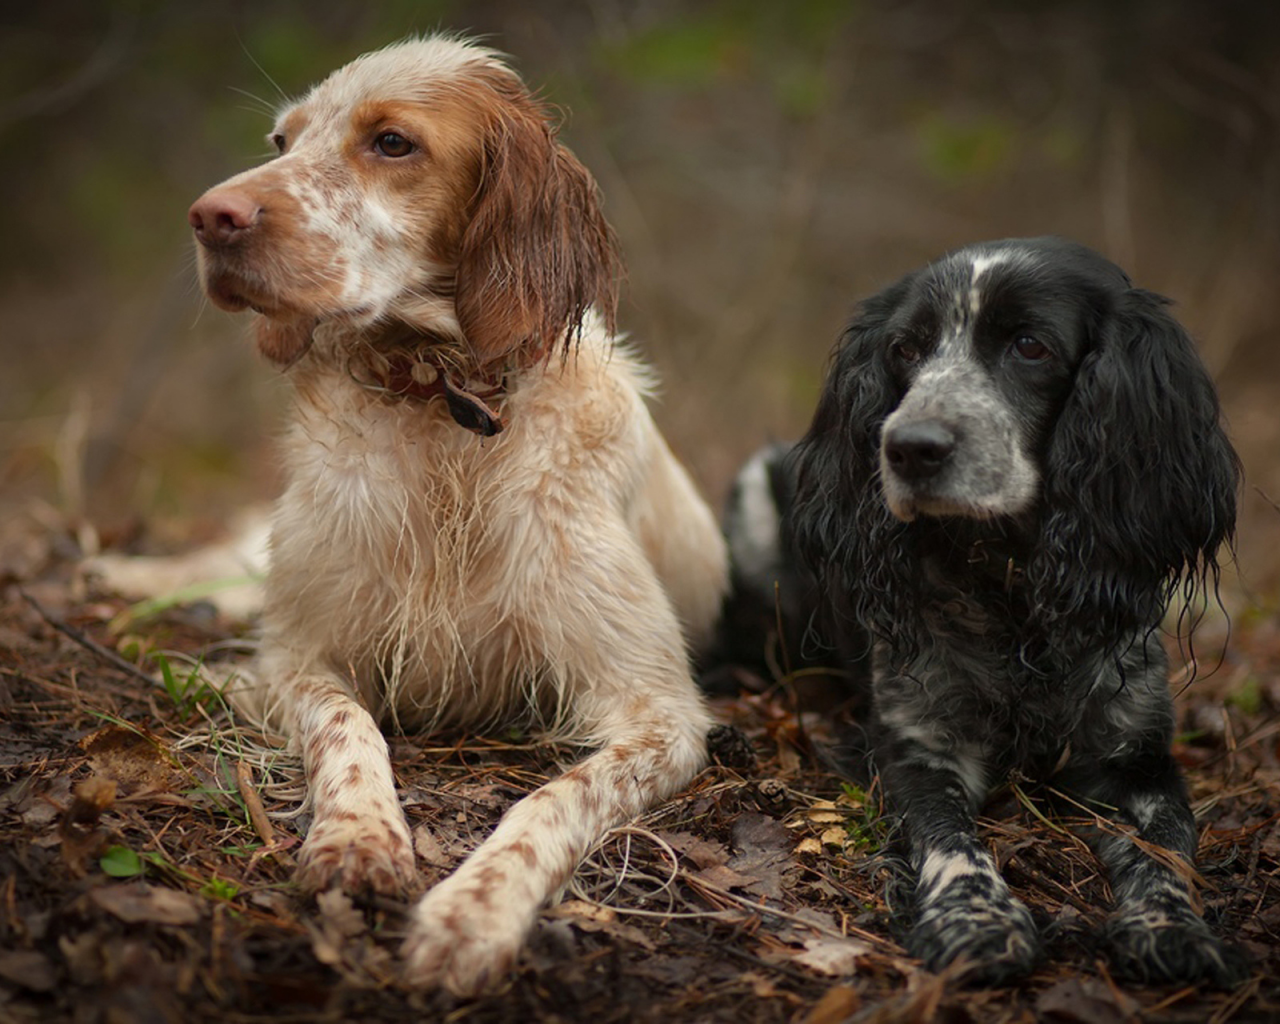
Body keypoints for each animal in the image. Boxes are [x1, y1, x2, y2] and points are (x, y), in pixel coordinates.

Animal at [127, 38, 732, 993]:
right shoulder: (297, 653)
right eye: (282, 140)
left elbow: (551, 798)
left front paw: (472, 913)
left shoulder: (660, 713)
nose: (208, 216)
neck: (440, 403)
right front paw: (358, 839)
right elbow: (350, 729)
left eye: (392, 143)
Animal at [732, 238, 1249, 983]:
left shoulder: (1137, 757)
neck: (1013, 595)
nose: (908, 447)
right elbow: (950, 840)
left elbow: (1169, 851)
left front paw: (1170, 926)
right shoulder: (917, 746)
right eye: (906, 349)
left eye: (1030, 345)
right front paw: (976, 919)